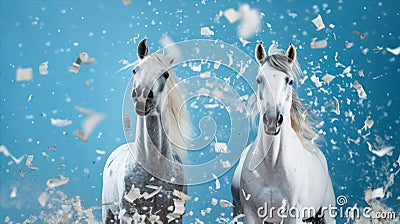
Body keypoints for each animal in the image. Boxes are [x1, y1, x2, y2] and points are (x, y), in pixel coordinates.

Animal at [102, 39, 191, 223]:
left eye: (165, 74)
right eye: (135, 70)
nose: (142, 96)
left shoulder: (173, 216)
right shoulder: (128, 215)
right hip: (109, 214)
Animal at [231, 42, 338, 224]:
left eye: (290, 81)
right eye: (259, 79)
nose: (272, 120)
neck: (272, 166)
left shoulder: (292, 214)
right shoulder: (251, 215)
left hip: (326, 213)